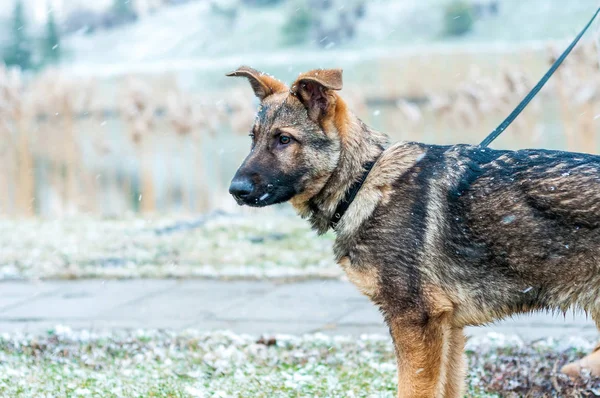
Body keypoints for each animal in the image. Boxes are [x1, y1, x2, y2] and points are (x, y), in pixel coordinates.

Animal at [225, 67, 600, 396]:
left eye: (283, 139)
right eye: (253, 139)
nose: (235, 190)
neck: (362, 182)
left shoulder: (416, 323)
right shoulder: (449, 330)